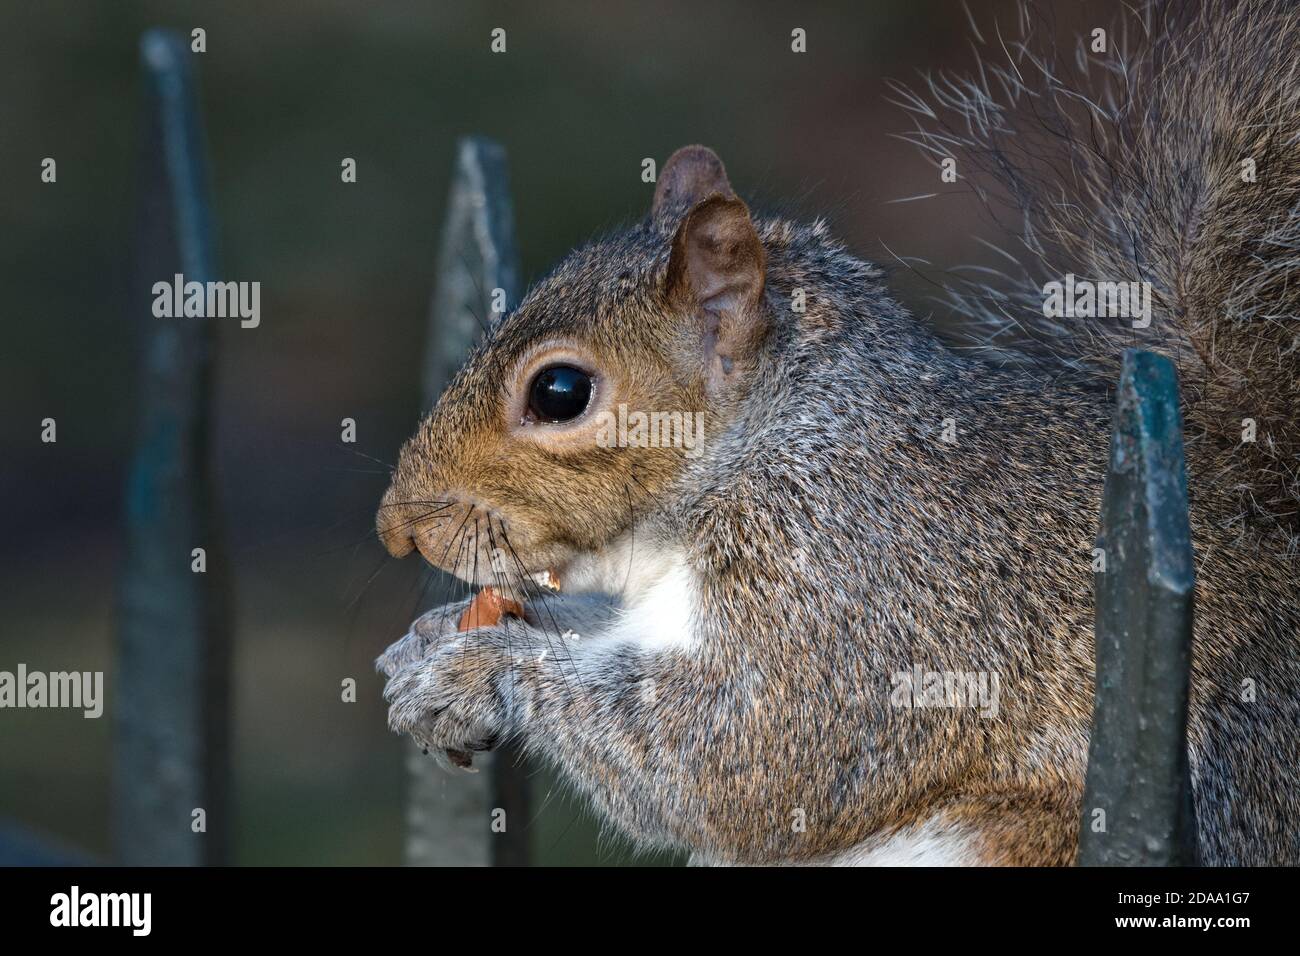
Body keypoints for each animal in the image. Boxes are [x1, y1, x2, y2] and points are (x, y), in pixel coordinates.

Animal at [371, 0, 1294, 868]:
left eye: (559, 392)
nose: (395, 528)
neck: (779, 438)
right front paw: (436, 637)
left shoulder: (860, 595)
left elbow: (733, 756)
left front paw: (479, 670)